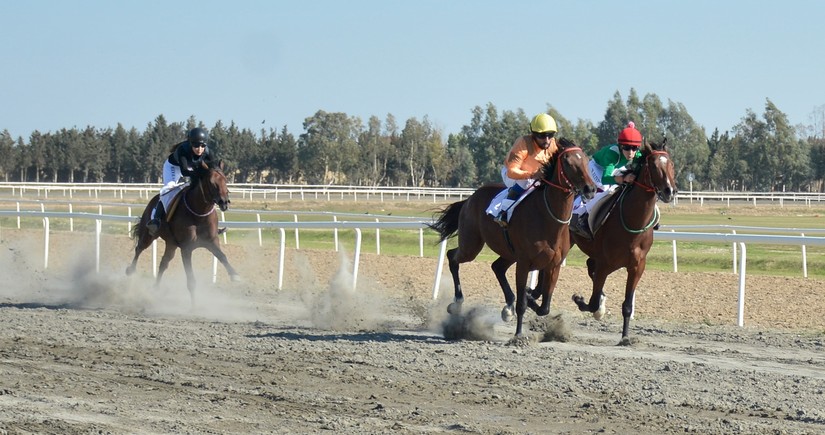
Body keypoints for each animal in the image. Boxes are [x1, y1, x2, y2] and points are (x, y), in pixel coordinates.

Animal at [125, 160, 240, 306]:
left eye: (225, 179)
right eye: (211, 182)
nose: (224, 202)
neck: (199, 213)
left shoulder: (212, 242)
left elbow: (222, 256)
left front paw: (234, 275)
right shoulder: (186, 248)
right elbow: (191, 280)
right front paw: (194, 306)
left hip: (171, 243)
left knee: (164, 263)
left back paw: (155, 288)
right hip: (149, 234)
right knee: (139, 248)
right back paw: (131, 270)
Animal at [428, 140, 596, 340]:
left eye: (585, 160)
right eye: (568, 162)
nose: (590, 189)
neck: (548, 217)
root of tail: (469, 199)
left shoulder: (553, 265)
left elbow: (544, 308)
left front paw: (529, 299)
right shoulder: (523, 263)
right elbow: (522, 304)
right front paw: (518, 335)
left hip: (508, 253)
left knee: (497, 267)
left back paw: (507, 308)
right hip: (471, 245)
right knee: (453, 257)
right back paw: (457, 303)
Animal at [568, 139, 676, 344]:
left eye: (672, 165)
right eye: (653, 165)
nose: (670, 191)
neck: (633, 221)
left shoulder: (636, 266)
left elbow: (626, 305)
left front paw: (625, 337)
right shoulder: (605, 264)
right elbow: (592, 302)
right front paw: (582, 301)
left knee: (590, 266)